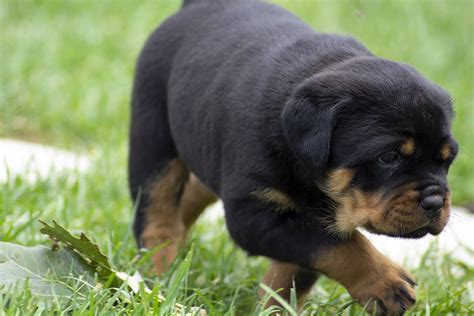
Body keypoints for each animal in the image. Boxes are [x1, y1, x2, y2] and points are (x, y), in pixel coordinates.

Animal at [128, 0, 458, 312]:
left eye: (447, 160)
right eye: (388, 157)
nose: (434, 201)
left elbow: (294, 274)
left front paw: (275, 309)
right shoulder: (254, 214)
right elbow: (336, 247)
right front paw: (384, 283)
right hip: (153, 138)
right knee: (157, 212)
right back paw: (158, 273)